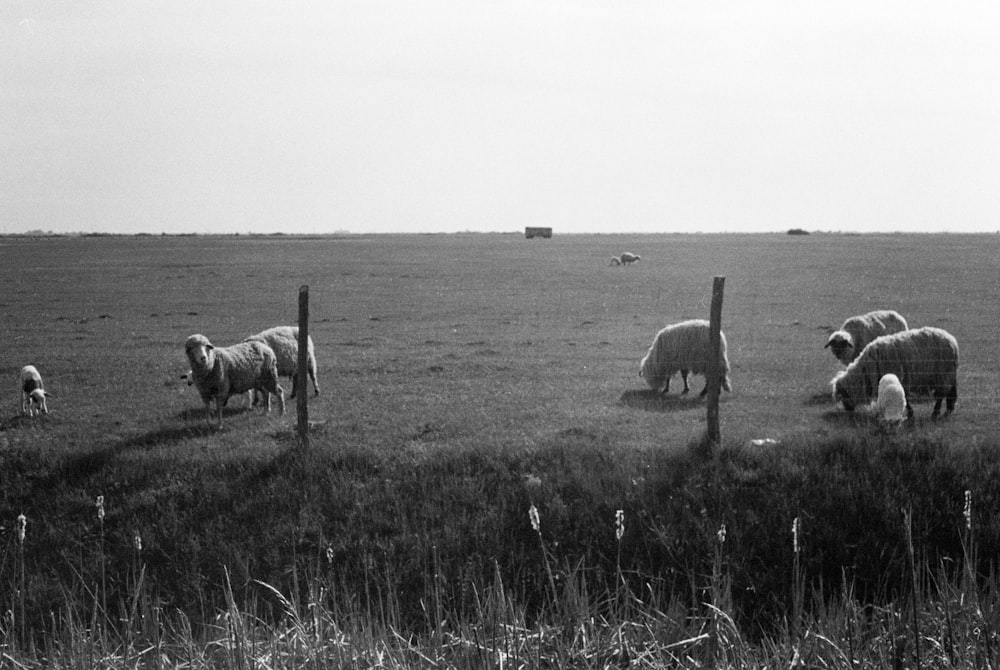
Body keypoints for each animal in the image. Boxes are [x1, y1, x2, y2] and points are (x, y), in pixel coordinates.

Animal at [828, 326, 960, 420]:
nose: (848, 410)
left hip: (942, 373)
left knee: (941, 395)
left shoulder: (897, 378)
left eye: (843, 394)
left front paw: (910, 413)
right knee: (951, 393)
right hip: (949, 374)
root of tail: (952, 341)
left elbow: (904, 398)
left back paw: (935, 413)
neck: (865, 372)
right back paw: (948, 410)